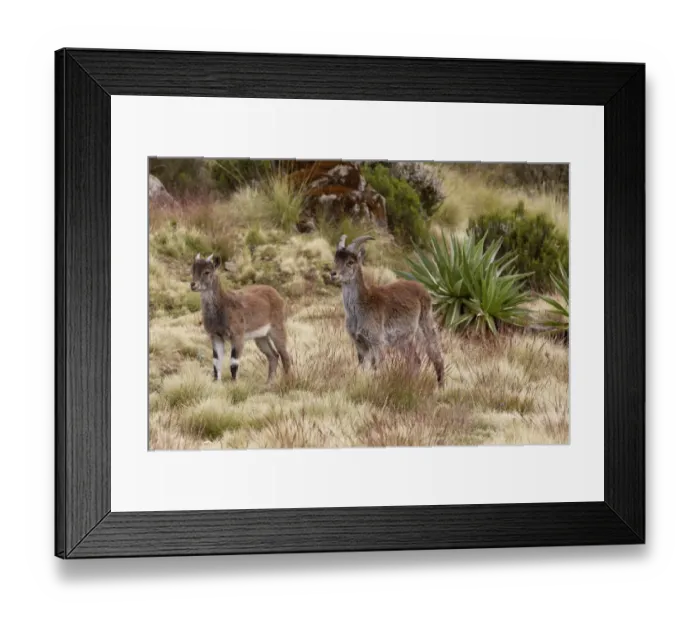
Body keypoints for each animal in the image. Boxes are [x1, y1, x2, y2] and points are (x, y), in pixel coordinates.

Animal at [190, 253, 291, 383]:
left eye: (207, 272)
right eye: (193, 270)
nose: (193, 285)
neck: (223, 307)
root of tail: (278, 296)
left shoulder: (238, 335)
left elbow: (233, 364)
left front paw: (234, 384)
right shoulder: (216, 336)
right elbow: (216, 363)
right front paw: (217, 383)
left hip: (277, 328)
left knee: (284, 355)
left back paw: (286, 381)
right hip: (261, 337)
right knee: (273, 355)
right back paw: (269, 383)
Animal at [330, 235, 444, 386]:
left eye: (350, 262)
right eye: (336, 260)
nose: (333, 274)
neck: (361, 309)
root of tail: (422, 288)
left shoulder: (377, 342)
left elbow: (377, 368)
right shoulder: (360, 344)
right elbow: (363, 368)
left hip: (425, 324)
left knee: (436, 355)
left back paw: (440, 386)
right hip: (403, 339)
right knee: (415, 361)